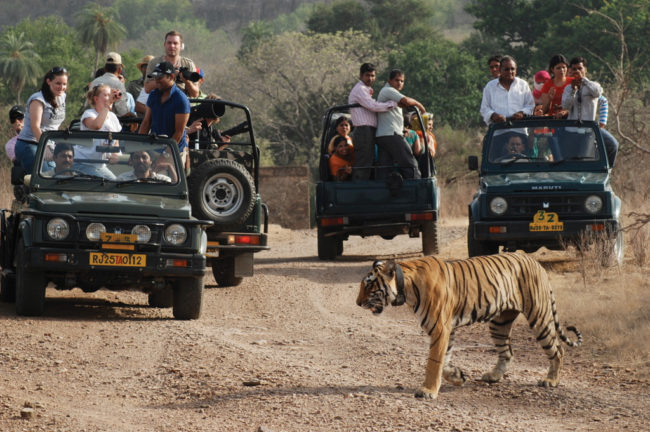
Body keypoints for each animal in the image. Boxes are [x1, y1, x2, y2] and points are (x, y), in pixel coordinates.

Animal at [356, 253, 580, 398]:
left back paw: (550, 380)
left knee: (557, 349)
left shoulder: (440, 328)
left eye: (369, 285)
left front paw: (428, 391)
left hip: (539, 316)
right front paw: (458, 376)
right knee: (507, 352)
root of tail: (536, 262)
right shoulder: (448, 329)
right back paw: (493, 376)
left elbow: (434, 362)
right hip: (499, 322)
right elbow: (444, 361)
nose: (357, 303)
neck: (406, 288)